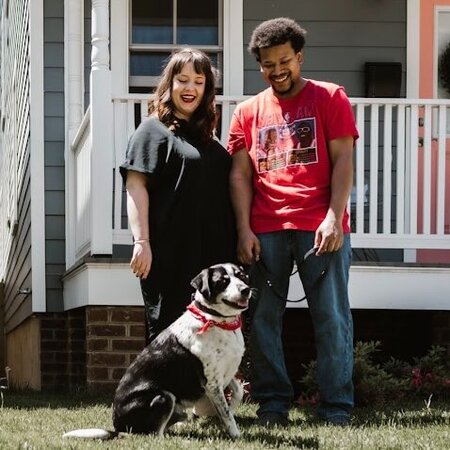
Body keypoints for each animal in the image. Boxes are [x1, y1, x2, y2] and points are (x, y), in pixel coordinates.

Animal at [63, 262, 251, 442]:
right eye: (222, 281)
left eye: (241, 276)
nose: (246, 290)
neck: (215, 320)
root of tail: (118, 427)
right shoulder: (211, 382)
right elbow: (226, 414)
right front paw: (236, 434)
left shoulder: (226, 373)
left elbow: (238, 393)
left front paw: (229, 411)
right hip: (164, 397)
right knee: (155, 435)